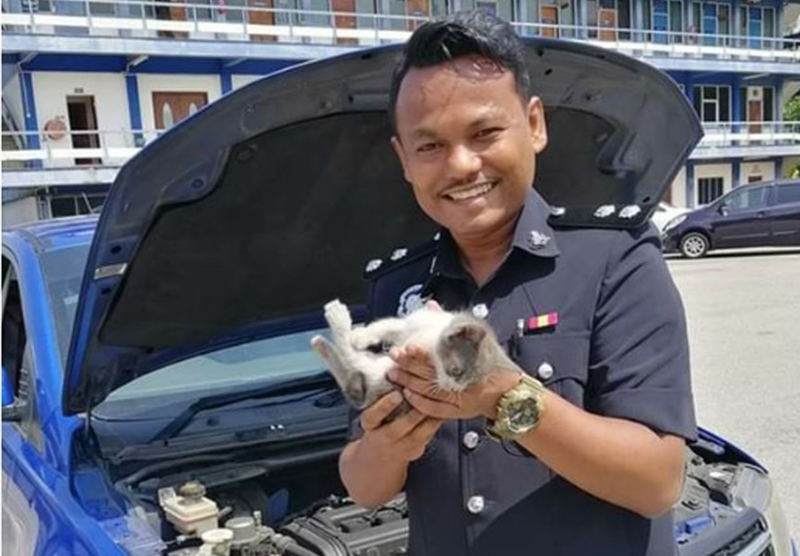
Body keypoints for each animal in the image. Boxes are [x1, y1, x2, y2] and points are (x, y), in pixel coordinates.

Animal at [306, 300, 520, 412]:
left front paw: (354, 336)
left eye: (470, 385)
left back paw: (335, 322)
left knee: (352, 361)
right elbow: (388, 325)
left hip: (383, 374)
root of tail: (367, 399)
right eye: (457, 372)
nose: (453, 389)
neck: (431, 335)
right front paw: (361, 335)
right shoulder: (413, 323)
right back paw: (323, 340)